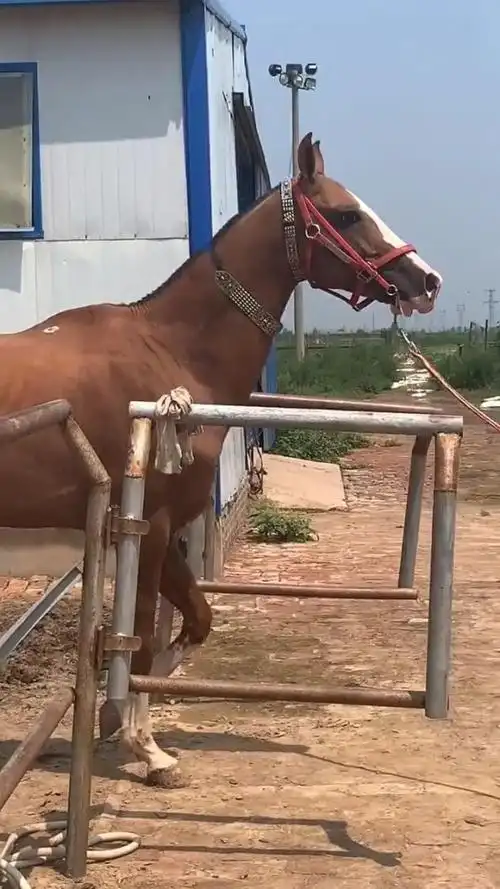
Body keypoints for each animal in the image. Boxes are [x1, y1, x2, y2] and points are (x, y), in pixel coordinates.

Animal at [0, 133, 443, 787]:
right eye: (345, 215)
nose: (426, 281)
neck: (171, 352)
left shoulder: (162, 532)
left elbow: (194, 621)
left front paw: (120, 716)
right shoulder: (150, 526)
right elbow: (142, 635)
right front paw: (145, 747)